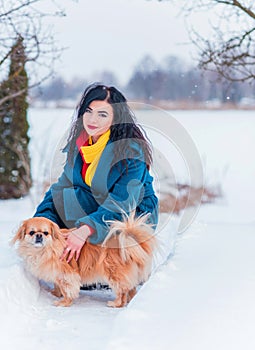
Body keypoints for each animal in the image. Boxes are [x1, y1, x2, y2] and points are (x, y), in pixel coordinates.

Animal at [11, 213, 156, 306]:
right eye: (31, 232)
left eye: (46, 233)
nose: (39, 235)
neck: (44, 250)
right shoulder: (57, 274)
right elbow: (58, 285)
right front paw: (55, 293)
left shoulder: (67, 275)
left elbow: (67, 290)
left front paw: (63, 302)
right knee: (131, 288)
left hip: (113, 273)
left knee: (122, 290)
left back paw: (116, 304)